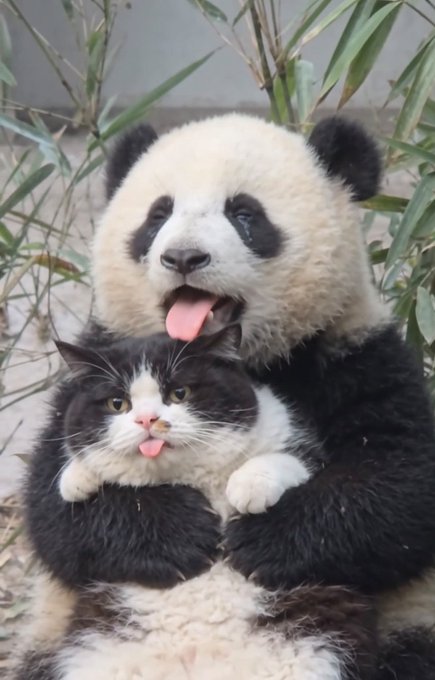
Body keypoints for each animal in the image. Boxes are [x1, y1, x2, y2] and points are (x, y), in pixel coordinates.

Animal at [18, 114, 435, 680]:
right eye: (158, 215)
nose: (183, 257)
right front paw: (176, 532)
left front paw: (261, 538)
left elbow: (400, 488)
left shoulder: (357, 353)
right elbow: (52, 513)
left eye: (244, 213)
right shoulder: (97, 358)